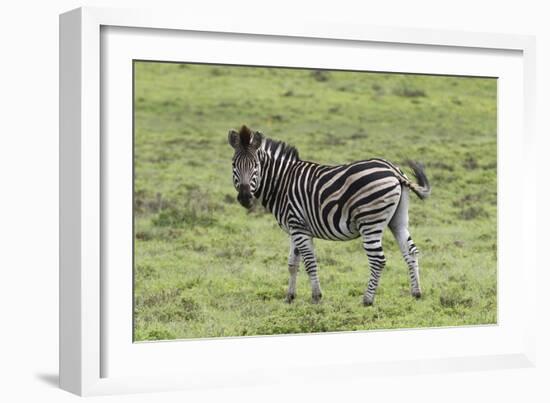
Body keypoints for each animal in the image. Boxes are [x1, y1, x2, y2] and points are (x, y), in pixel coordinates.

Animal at [229, 126, 432, 306]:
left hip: (370, 222)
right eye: (233, 165)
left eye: (256, 166)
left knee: (378, 260)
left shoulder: (299, 227)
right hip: (398, 220)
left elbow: (309, 263)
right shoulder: (294, 228)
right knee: (411, 252)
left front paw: (316, 297)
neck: (282, 182)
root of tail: (393, 170)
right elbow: (292, 264)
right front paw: (289, 297)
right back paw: (416, 293)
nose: (245, 197)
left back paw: (367, 300)